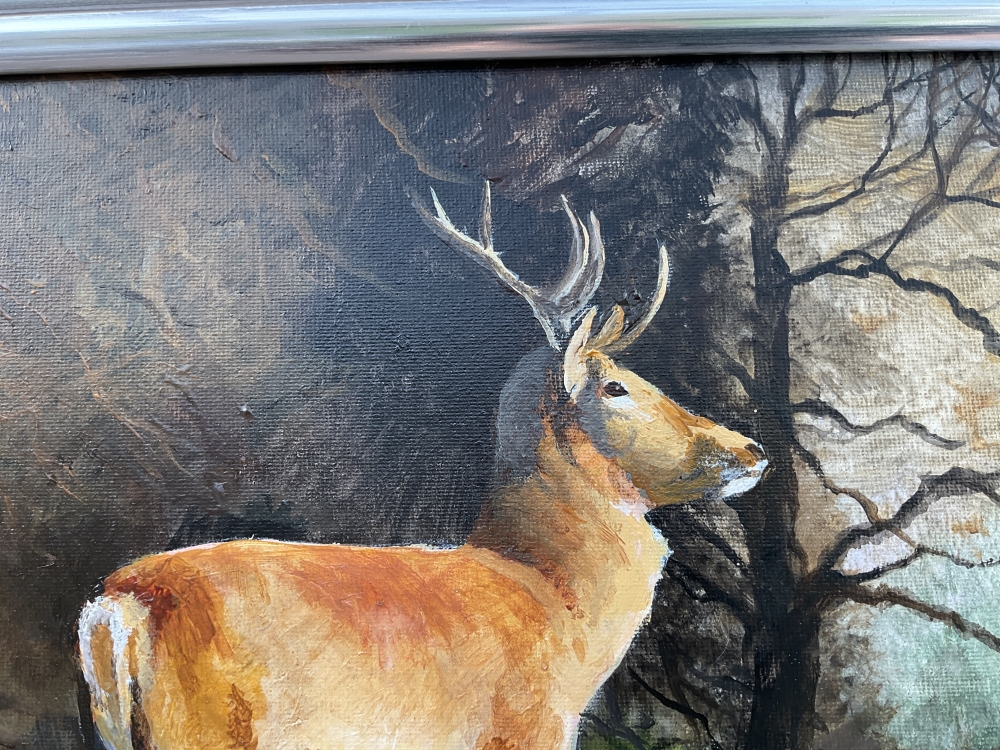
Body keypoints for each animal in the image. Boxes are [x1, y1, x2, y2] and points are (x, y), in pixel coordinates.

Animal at [77, 182, 767, 750]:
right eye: (616, 387)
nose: (751, 449)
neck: (551, 605)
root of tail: (118, 606)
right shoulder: (521, 731)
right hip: (209, 728)